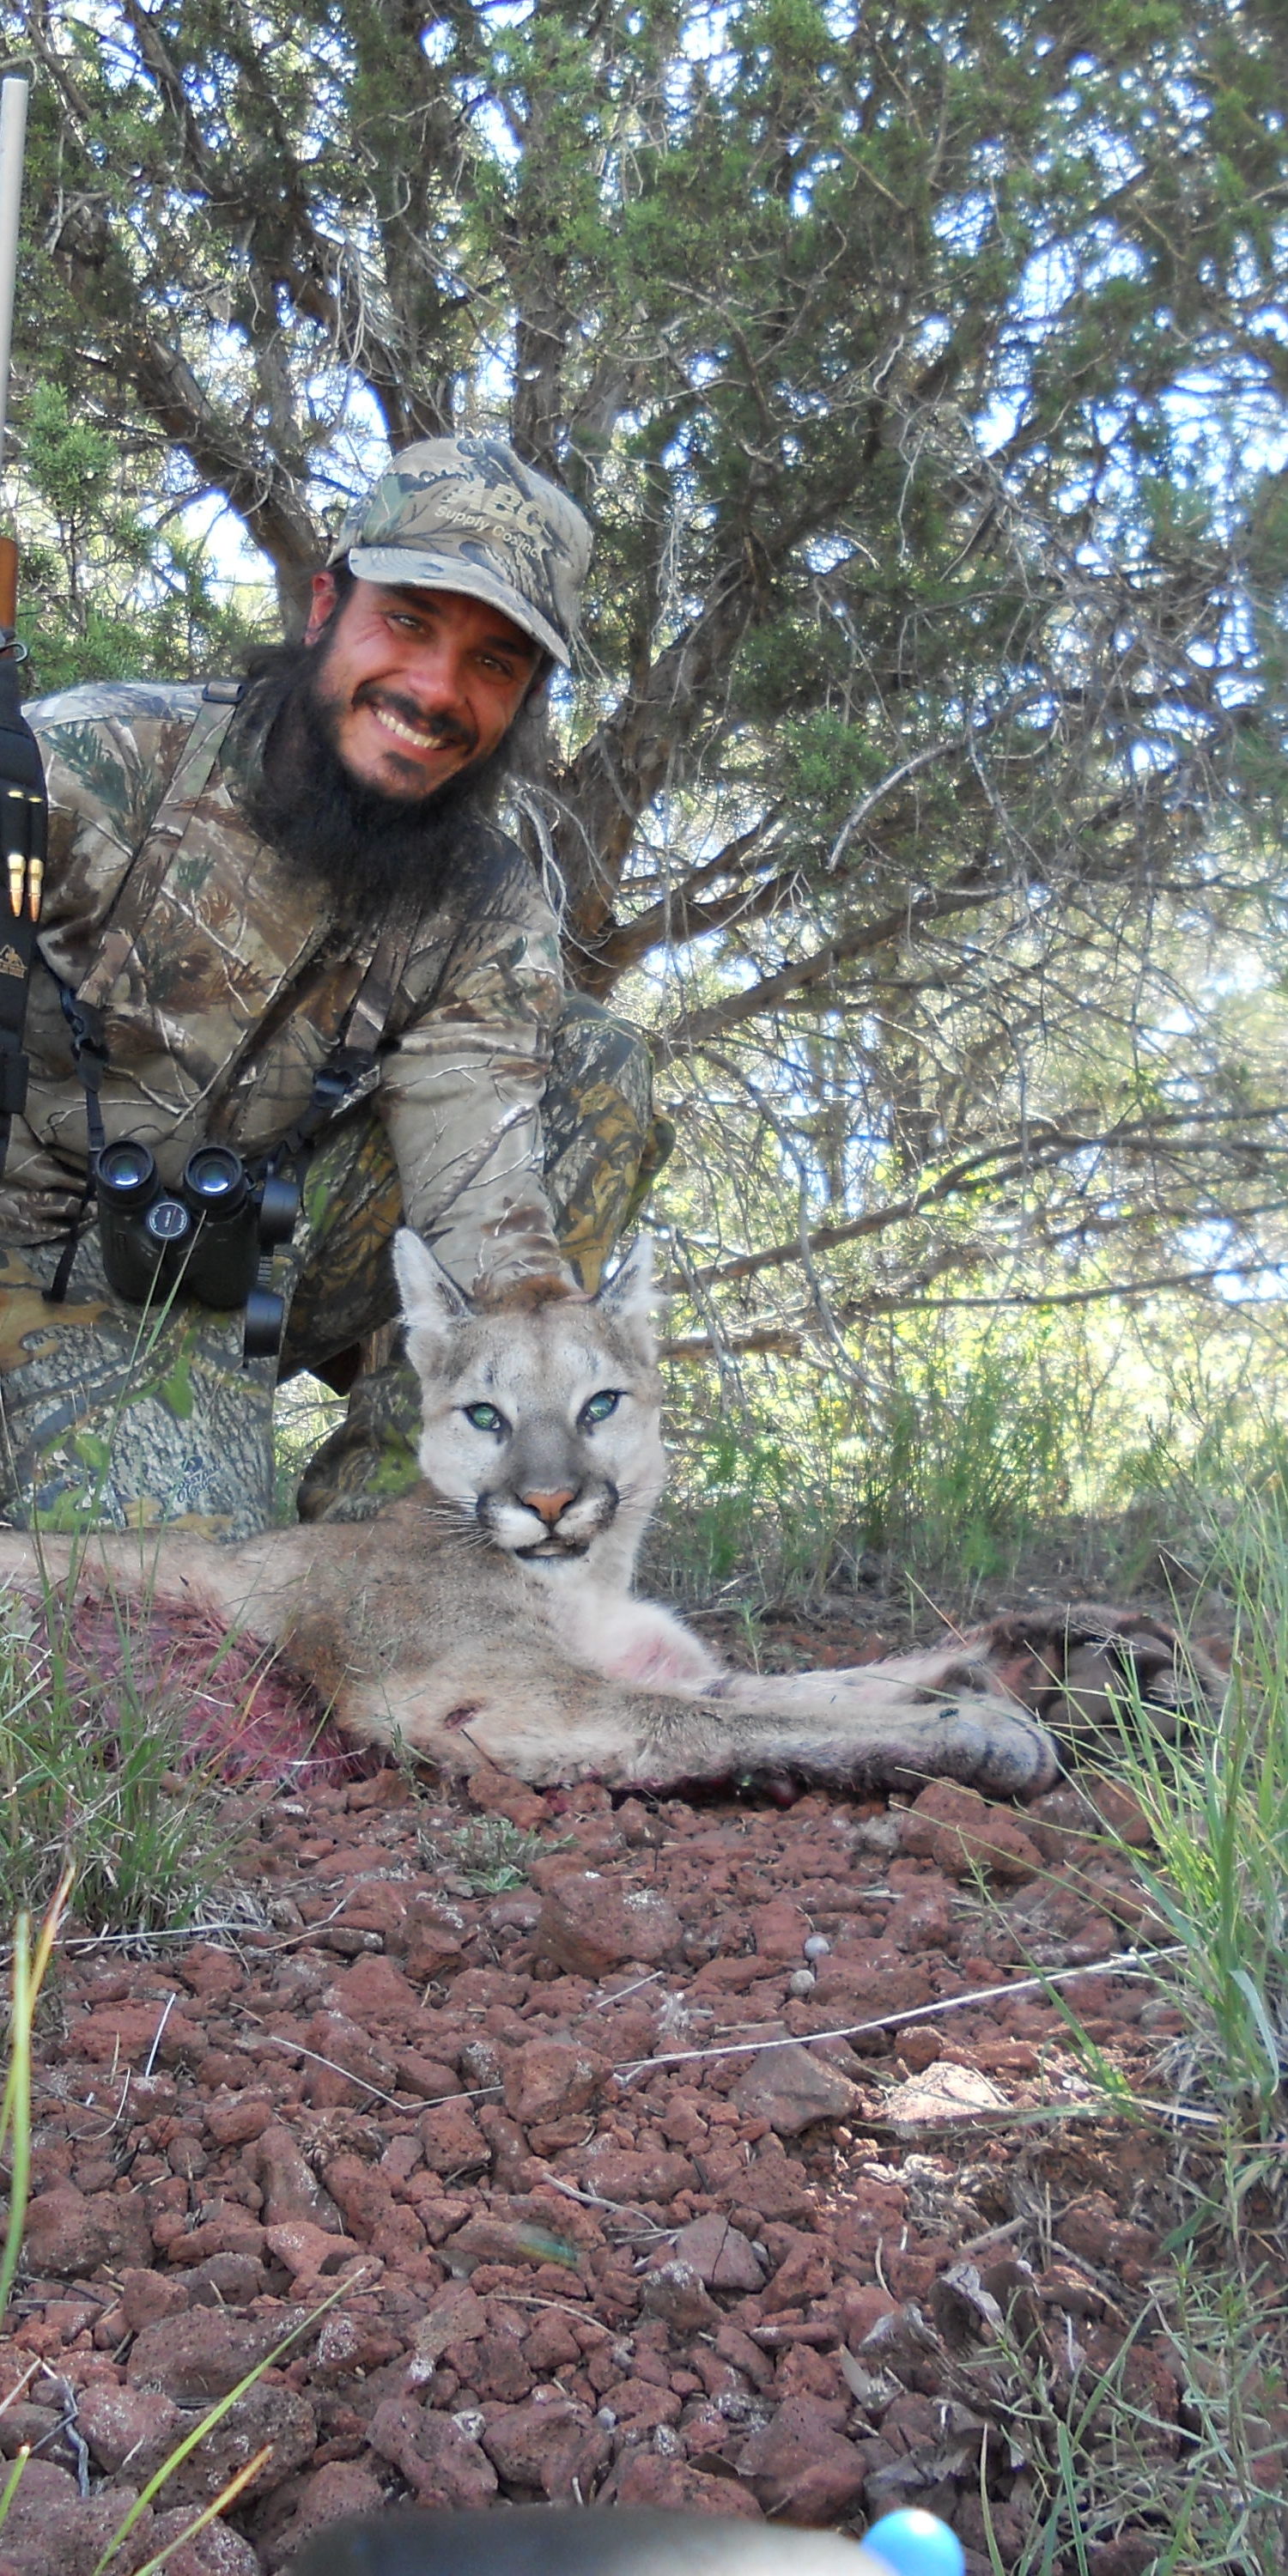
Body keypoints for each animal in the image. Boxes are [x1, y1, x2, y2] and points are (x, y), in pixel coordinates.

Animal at [0, 1235, 1217, 1796]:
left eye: (599, 1404)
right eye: (485, 1414)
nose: (548, 1503)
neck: (584, 1582)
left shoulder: (667, 1661)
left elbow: (830, 1679)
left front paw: (1073, 1652)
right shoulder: (495, 1694)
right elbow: (734, 1723)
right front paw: (979, 1728)